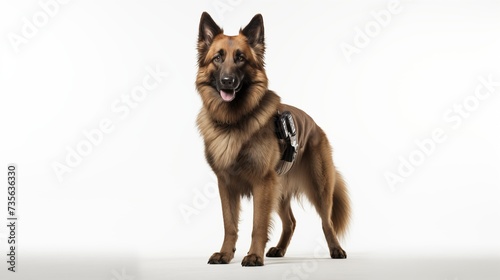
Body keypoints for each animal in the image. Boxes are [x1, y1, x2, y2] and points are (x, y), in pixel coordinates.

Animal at [195, 12, 352, 266]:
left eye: (240, 58)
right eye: (218, 58)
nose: (227, 81)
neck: (233, 121)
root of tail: (316, 126)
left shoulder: (262, 183)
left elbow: (258, 224)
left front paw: (253, 256)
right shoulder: (226, 184)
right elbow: (230, 225)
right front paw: (226, 254)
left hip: (318, 187)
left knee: (326, 221)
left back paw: (336, 250)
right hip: (279, 191)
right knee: (291, 222)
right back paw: (279, 249)